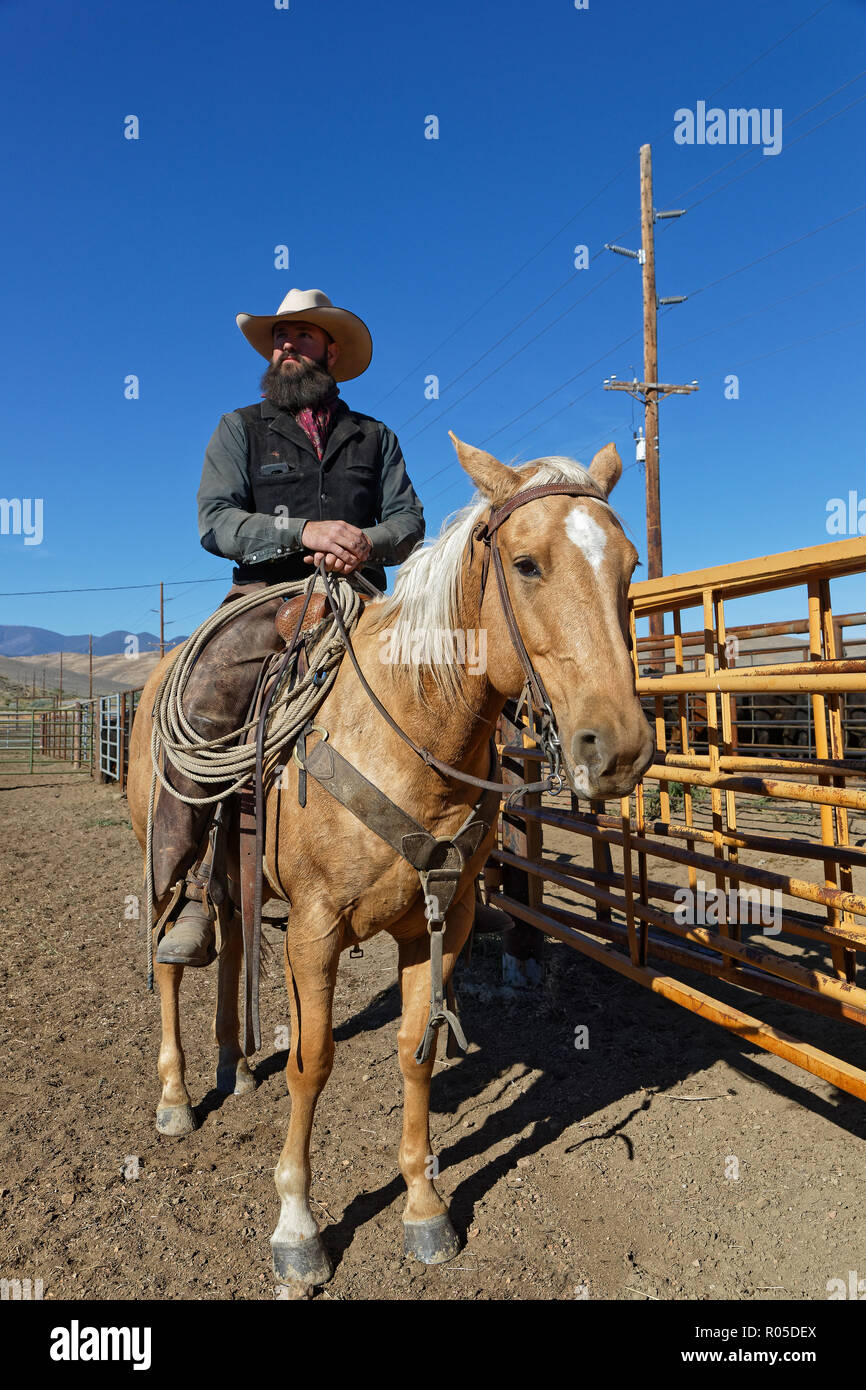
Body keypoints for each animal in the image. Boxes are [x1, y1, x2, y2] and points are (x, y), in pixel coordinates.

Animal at [128, 439, 653, 1284]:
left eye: (630, 564)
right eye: (527, 564)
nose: (620, 749)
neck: (409, 733)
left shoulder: (443, 919)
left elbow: (417, 1053)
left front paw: (425, 1208)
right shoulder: (314, 928)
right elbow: (313, 1060)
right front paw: (298, 1226)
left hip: (236, 867)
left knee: (234, 941)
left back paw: (235, 1064)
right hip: (165, 851)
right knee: (170, 955)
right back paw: (176, 1096)